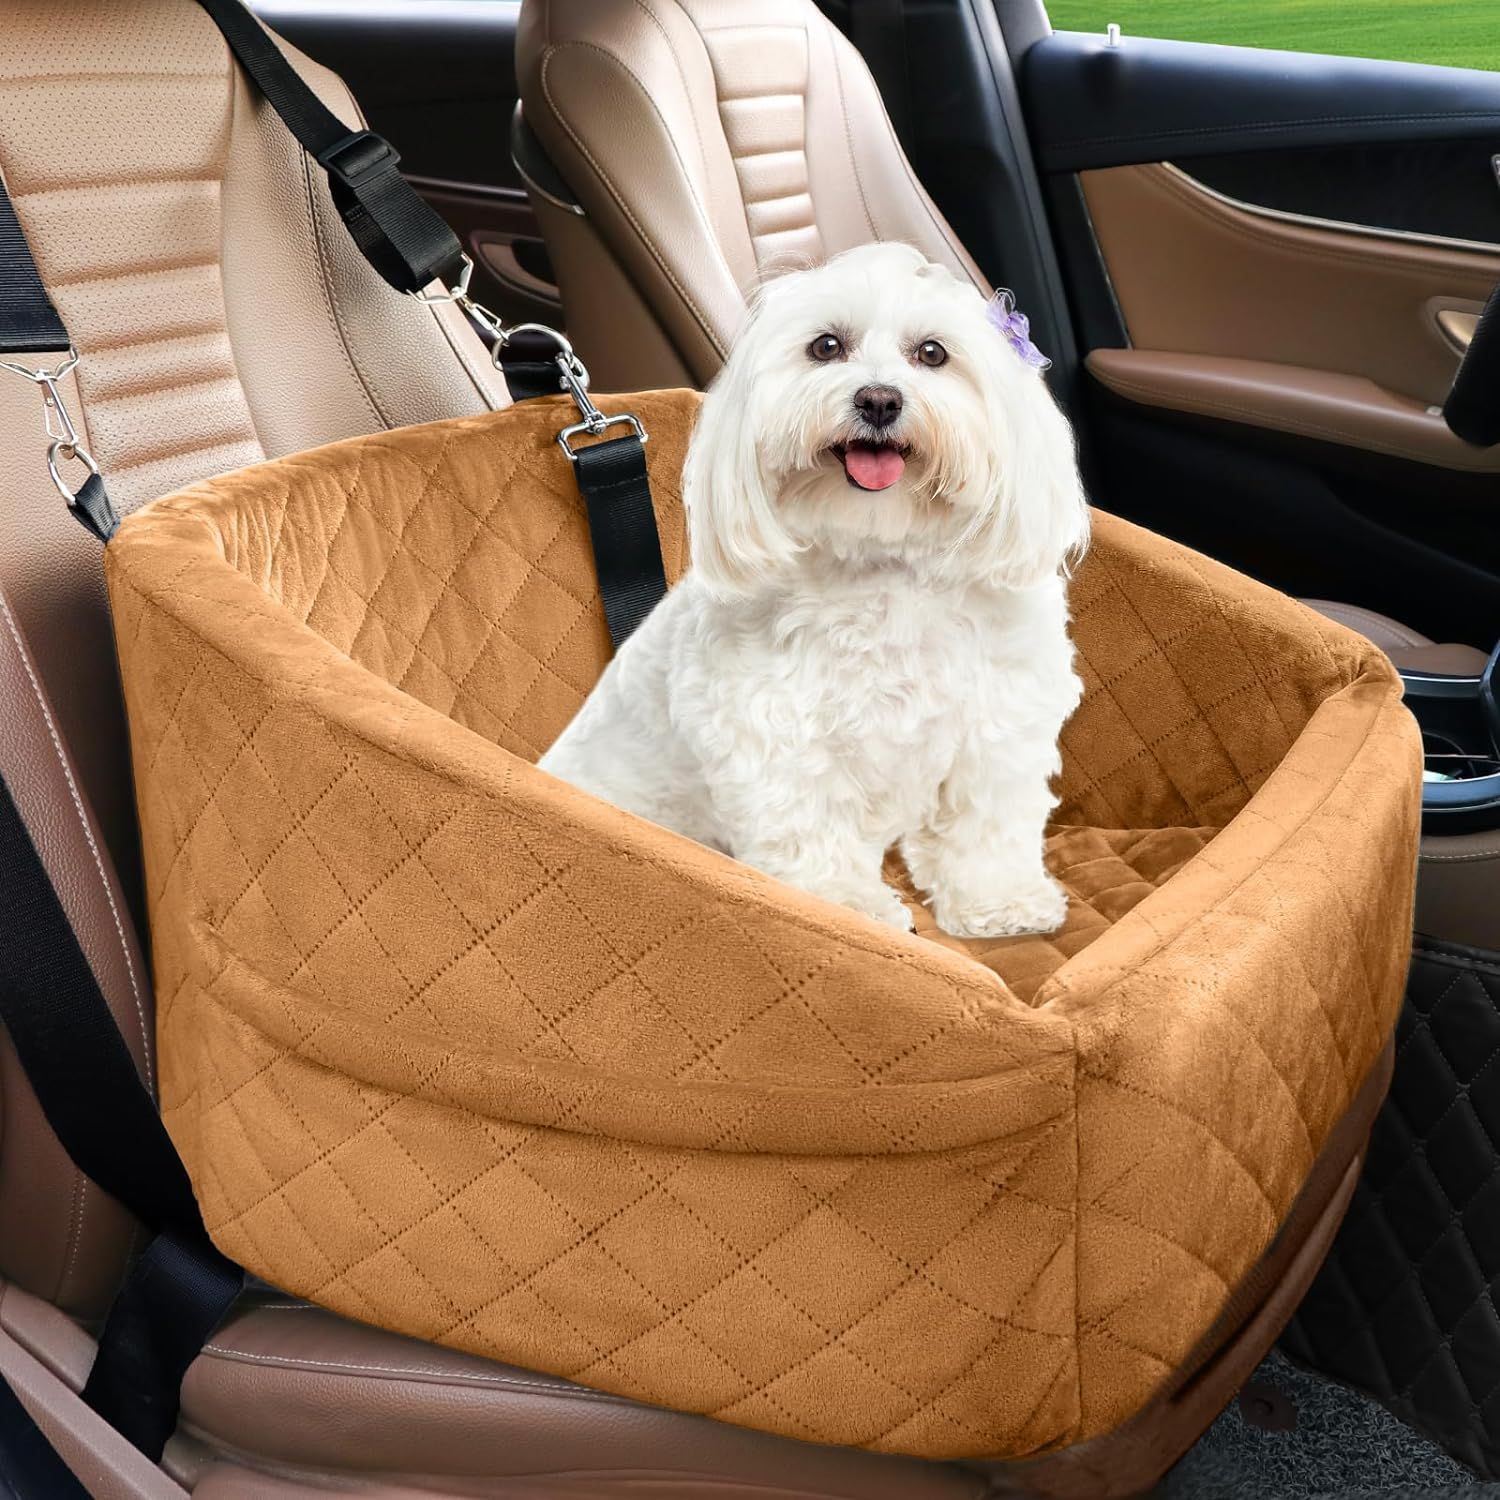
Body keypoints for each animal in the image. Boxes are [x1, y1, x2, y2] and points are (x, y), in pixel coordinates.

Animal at [546, 238, 1086, 930]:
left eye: (932, 353)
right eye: (826, 346)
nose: (879, 400)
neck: (884, 559)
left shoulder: (999, 721)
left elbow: (985, 820)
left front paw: (1001, 900)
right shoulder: (775, 736)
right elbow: (808, 827)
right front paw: (847, 906)